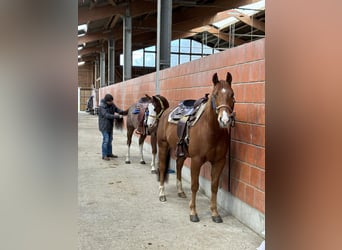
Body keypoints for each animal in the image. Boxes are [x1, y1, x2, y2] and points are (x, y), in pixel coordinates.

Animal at [157, 72, 235, 223]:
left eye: (232, 94)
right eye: (215, 94)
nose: (224, 120)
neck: (211, 130)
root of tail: (166, 112)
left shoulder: (219, 162)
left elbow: (214, 186)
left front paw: (215, 213)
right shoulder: (196, 160)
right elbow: (194, 186)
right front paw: (193, 212)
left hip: (181, 152)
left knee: (179, 166)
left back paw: (180, 191)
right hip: (163, 146)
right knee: (163, 169)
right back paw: (162, 194)